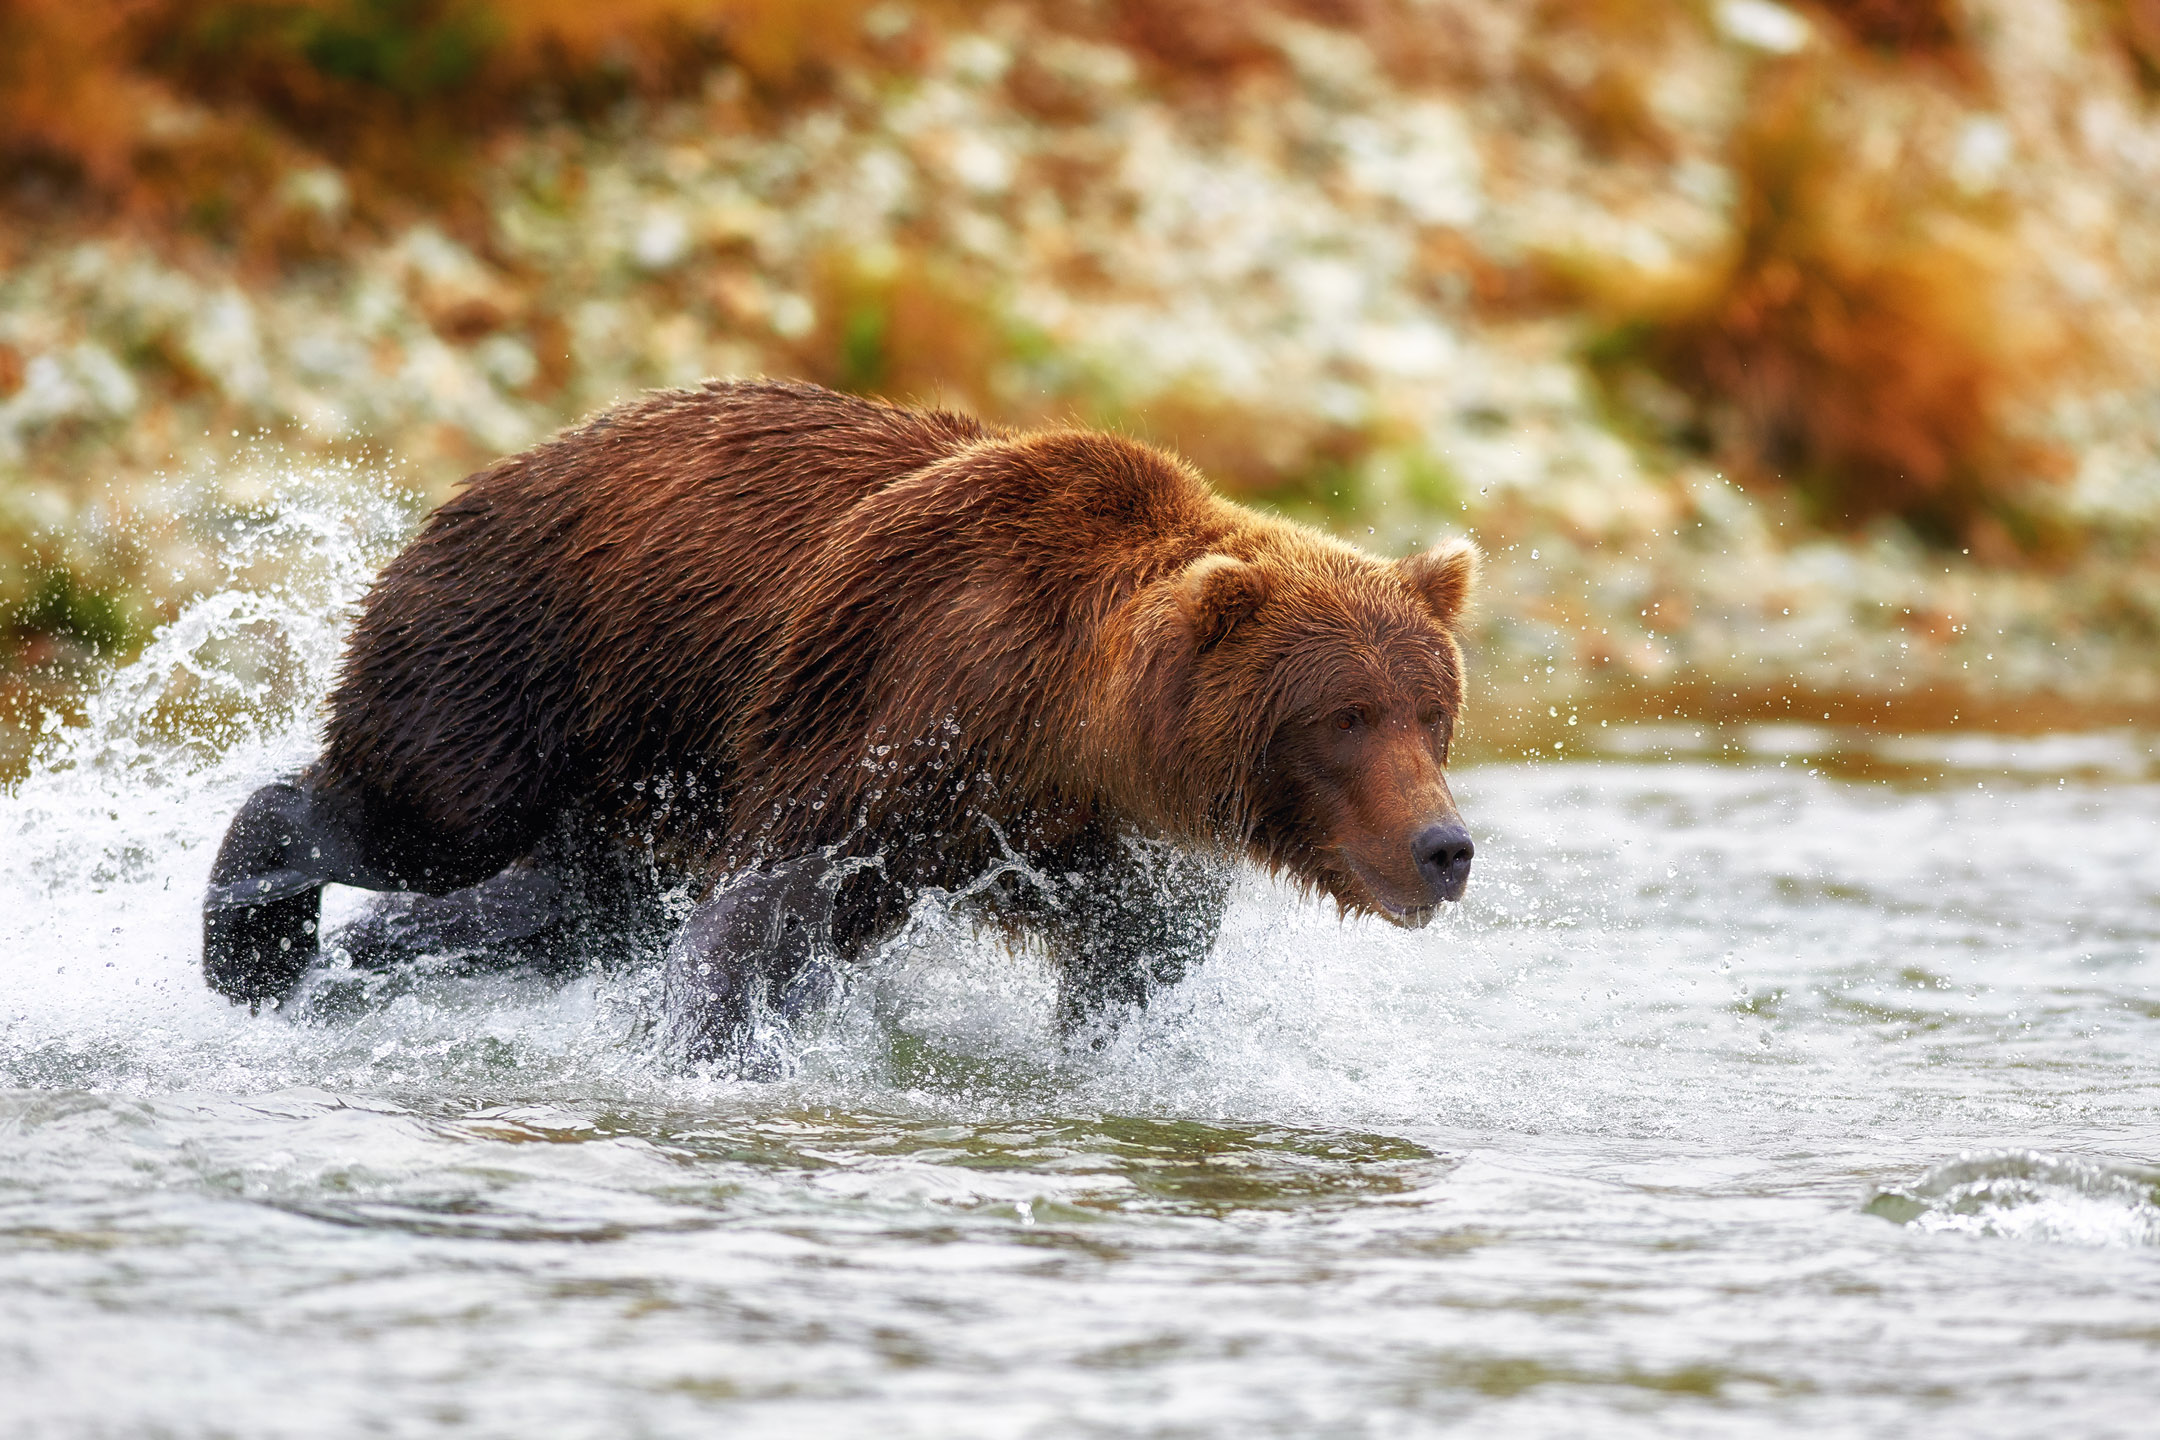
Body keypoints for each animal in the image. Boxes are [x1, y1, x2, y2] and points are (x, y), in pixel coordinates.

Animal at [203, 379, 1477, 1057]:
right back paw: (254, 953)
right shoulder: (898, 714)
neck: (1068, 729)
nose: (1444, 846)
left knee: (558, 908)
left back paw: (354, 963)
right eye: (1345, 716)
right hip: (531, 654)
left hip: (643, 778)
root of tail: (498, 467)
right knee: (419, 815)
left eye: (1432, 712)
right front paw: (706, 1049)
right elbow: (773, 907)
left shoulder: (1108, 841)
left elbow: (1135, 962)